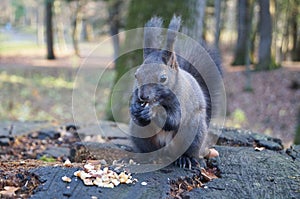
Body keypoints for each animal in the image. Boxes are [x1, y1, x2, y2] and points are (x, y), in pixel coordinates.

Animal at [127, 15, 221, 169]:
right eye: (136, 75)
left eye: (163, 78)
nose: (143, 96)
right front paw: (135, 109)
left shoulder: (183, 101)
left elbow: (174, 120)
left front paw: (152, 113)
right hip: (139, 134)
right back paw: (147, 157)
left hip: (194, 133)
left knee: (189, 151)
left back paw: (186, 159)